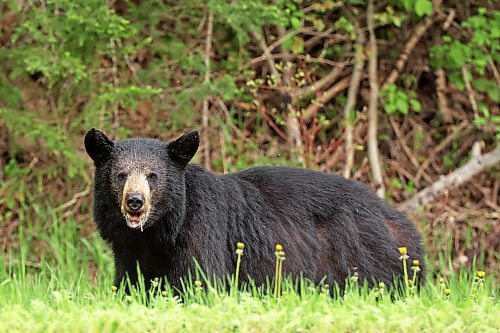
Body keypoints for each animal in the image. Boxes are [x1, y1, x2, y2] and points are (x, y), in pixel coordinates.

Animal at [84, 128, 424, 290]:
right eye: (121, 175)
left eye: (153, 175)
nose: (135, 200)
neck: (159, 231)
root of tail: (405, 224)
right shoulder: (128, 250)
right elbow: (131, 282)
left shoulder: (201, 229)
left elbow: (201, 279)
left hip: (365, 259)